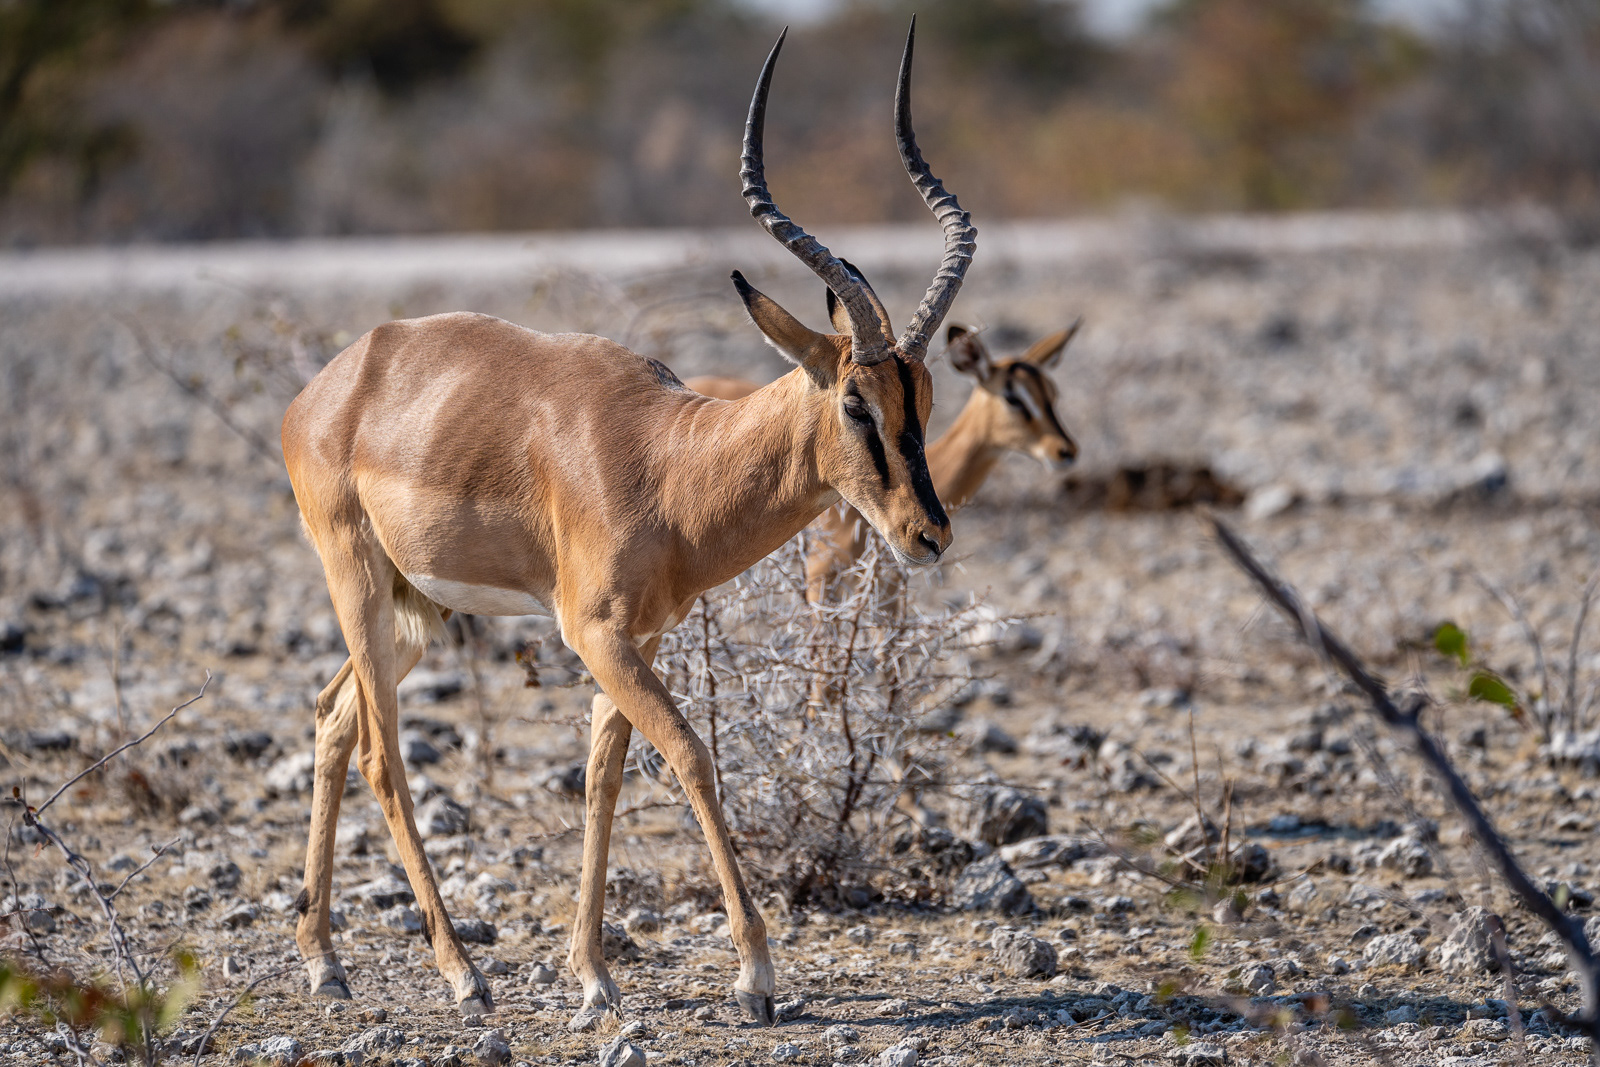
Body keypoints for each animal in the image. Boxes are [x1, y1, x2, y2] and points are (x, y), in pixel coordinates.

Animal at [279, 22, 973, 1027]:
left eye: (924, 397)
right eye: (855, 402)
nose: (929, 535)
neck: (670, 464)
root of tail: (331, 383)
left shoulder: (632, 639)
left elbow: (602, 777)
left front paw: (593, 973)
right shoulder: (595, 633)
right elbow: (690, 752)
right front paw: (755, 976)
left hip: (418, 604)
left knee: (333, 717)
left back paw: (325, 960)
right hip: (358, 581)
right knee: (378, 749)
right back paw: (460, 971)